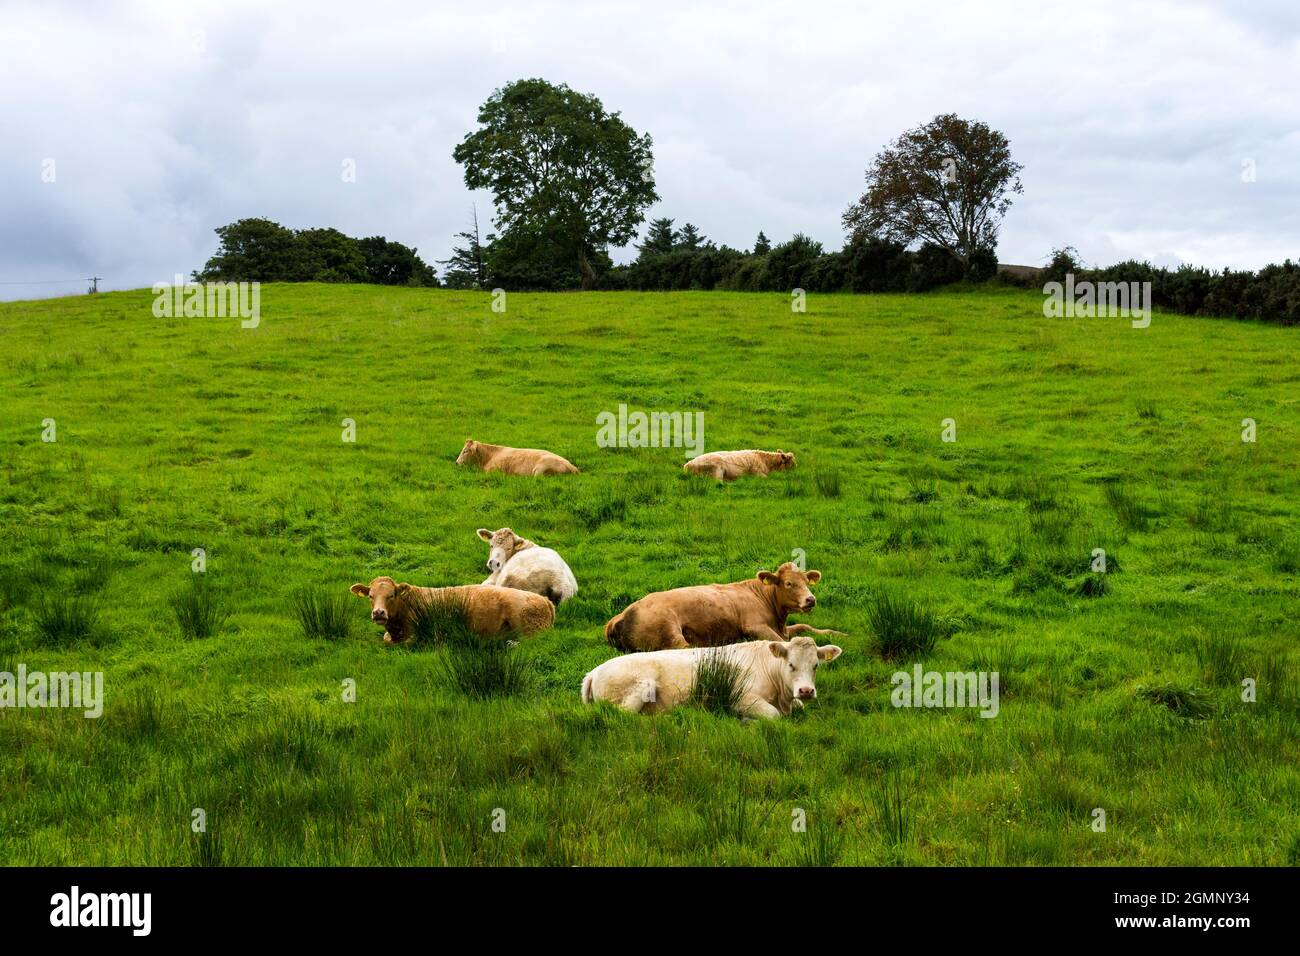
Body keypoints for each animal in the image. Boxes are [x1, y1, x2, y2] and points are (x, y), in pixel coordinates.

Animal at [579, 634, 842, 717]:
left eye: (816, 665)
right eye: (790, 664)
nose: (806, 691)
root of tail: (594, 671)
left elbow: (799, 707)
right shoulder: (742, 698)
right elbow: (773, 715)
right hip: (639, 688)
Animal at [600, 556, 842, 655]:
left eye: (806, 582)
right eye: (788, 583)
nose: (810, 600)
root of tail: (617, 618)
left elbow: (804, 627)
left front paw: (838, 634)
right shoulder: (755, 626)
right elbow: (783, 641)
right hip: (670, 631)